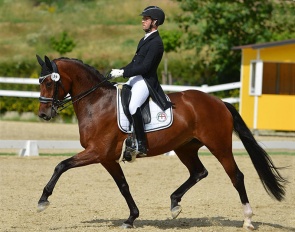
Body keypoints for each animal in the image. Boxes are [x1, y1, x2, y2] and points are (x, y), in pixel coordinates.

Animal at [35, 54, 286, 230]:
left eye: (49, 83)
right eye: (40, 82)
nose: (43, 114)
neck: (97, 103)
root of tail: (219, 101)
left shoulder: (96, 152)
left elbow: (61, 165)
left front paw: (43, 200)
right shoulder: (107, 158)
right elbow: (123, 186)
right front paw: (131, 218)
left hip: (219, 146)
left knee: (236, 176)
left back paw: (247, 220)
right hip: (185, 148)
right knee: (199, 172)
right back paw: (174, 204)